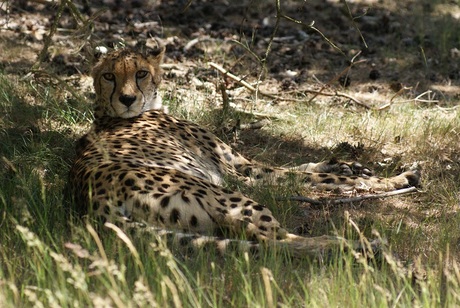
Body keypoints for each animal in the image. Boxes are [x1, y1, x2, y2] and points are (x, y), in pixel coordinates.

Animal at [69, 47, 420, 256]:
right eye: (109, 76)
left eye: (140, 73)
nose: (127, 99)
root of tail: (93, 203)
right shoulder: (237, 173)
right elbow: (309, 179)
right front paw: (395, 179)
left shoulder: (242, 168)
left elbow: (307, 168)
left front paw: (347, 166)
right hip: (229, 197)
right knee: (273, 242)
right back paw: (354, 244)